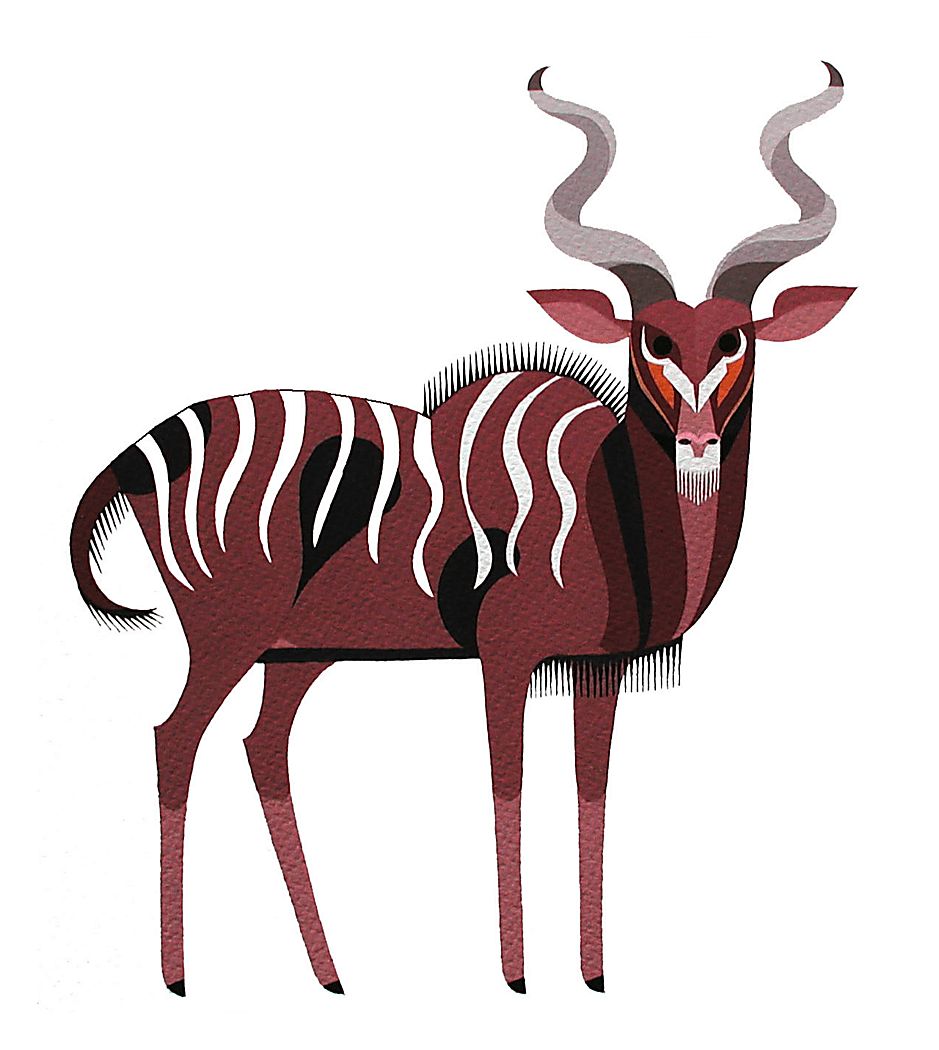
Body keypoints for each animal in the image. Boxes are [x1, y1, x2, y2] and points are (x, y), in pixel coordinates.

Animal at [70, 64, 854, 996]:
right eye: (652, 341)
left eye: (733, 339)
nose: (695, 440)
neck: (605, 504)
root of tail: (142, 450)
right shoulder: (504, 656)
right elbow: (505, 788)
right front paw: (516, 979)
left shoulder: (597, 671)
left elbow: (590, 790)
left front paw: (592, 978)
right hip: (228, 636)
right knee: (174, 739)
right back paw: (179, 977)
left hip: (297, 653)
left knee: (261, 746)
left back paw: (330, 975)